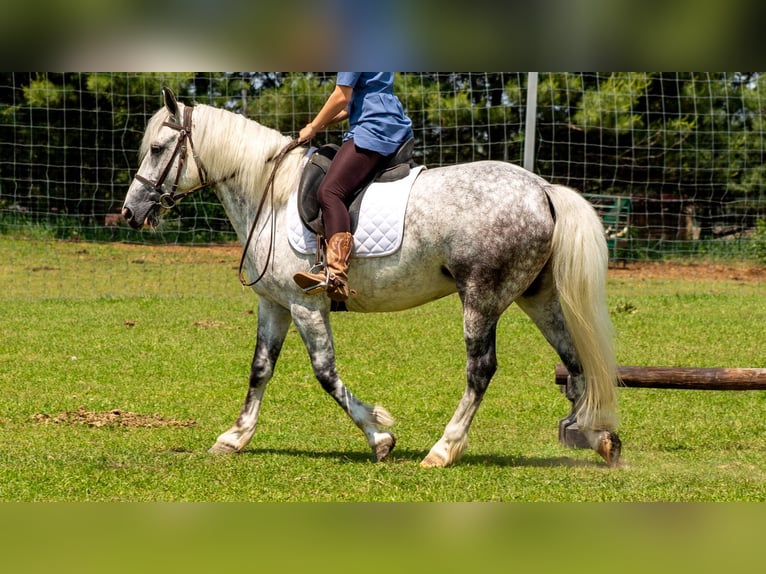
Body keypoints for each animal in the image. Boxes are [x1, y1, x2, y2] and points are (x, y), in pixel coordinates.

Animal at [122, 87, 622, 467]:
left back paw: (444, 449)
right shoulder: (275, 304)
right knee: (574, 359)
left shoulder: (306, 305)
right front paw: (234, 436)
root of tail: (543, 189)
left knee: (481, 370)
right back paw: (596, 436)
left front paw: (379, 436)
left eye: (157, 150)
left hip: (482, 297)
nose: (131, 212)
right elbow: (260, 369)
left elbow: (325, 373)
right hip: (537, 295)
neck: (270, 193)